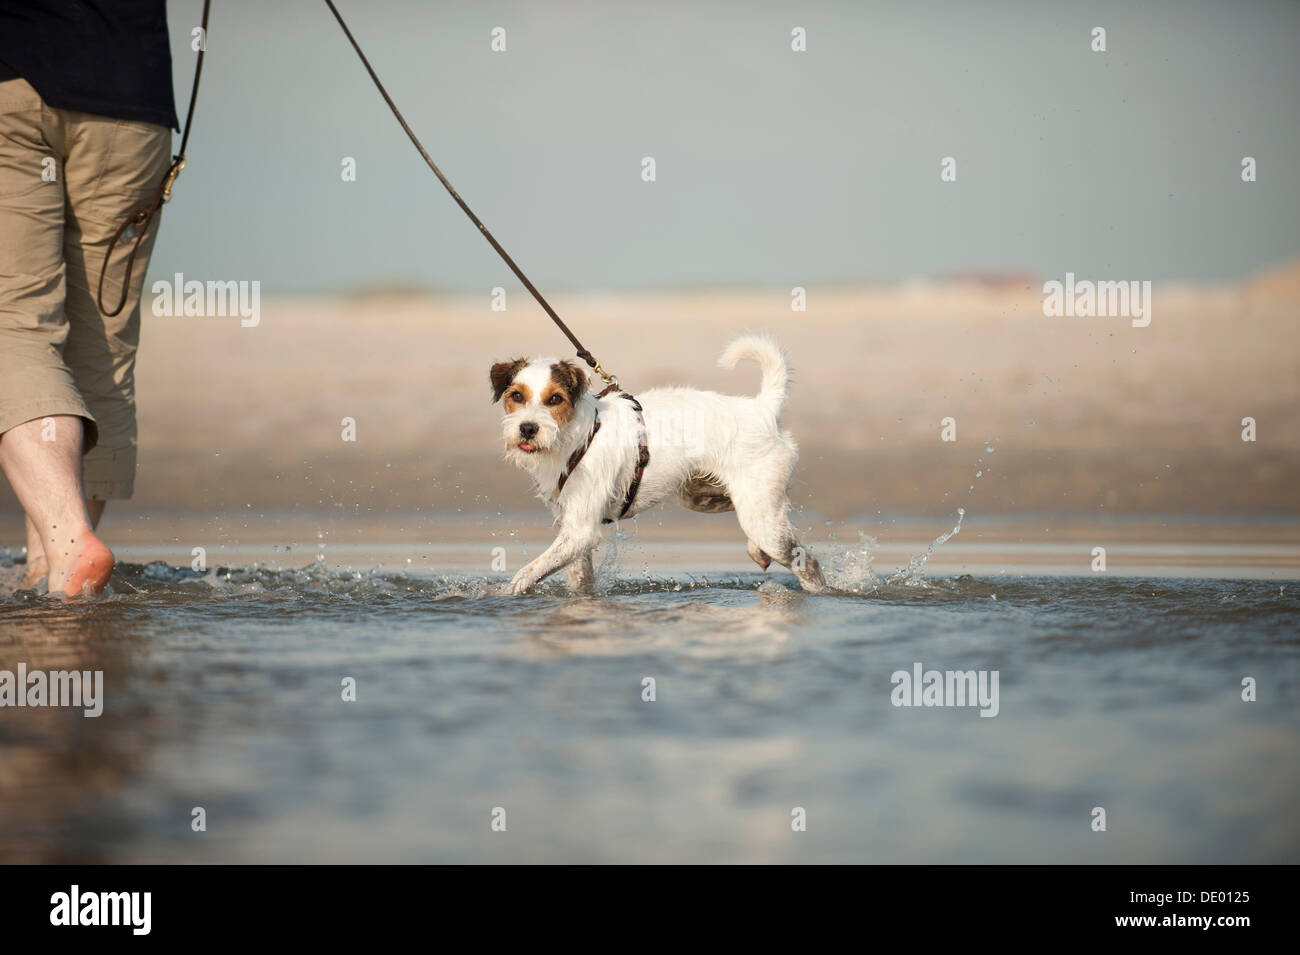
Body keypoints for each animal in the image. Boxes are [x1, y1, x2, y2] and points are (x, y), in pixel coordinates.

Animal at [491, 332, 826, 595]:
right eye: (516, 396)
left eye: (555, 399)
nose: (528, 428)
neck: (577, 435)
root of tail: (762, 409)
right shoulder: (572, 530)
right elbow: (579, 580)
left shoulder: (579, 533)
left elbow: (526, 573)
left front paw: (496, 596)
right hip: (704, 497)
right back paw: (758, 550)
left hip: (759, 514)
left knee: (807, 563)